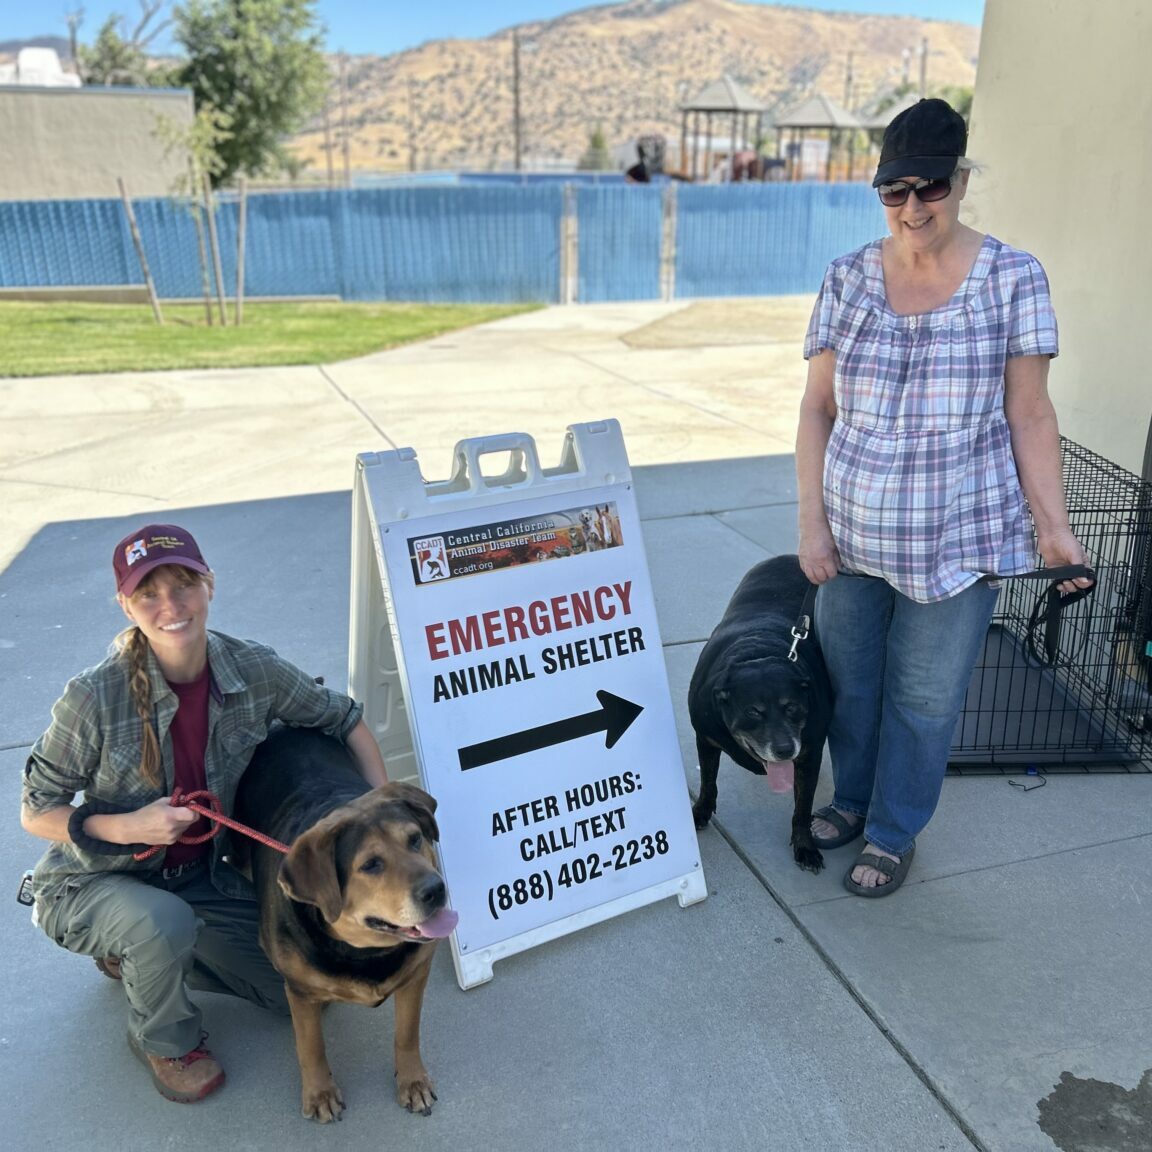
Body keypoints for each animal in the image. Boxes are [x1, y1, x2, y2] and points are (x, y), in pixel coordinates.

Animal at [236, 728, 456, 1124]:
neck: (363, 950)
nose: (436, 890)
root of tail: (280, 729)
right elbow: (311, 1046)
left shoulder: (416, 974)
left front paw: (412, 1080)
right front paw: (320, 1092)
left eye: (415, 838)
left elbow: (407, 1033)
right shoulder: (300, 992)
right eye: (370, 865)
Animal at [686, 557, 834, 870]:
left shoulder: (809, 754)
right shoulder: (705, 737)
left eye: (792, 707)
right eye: (753, 711)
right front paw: (701, 810)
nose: (784, 749)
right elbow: (708, 780)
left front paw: (805, 845)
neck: (759, 650)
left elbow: (803, 806)